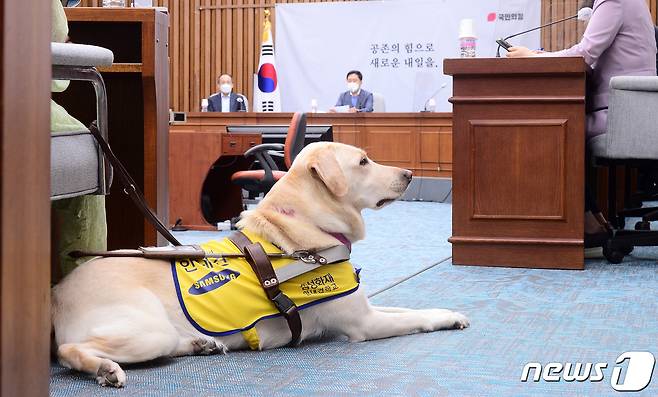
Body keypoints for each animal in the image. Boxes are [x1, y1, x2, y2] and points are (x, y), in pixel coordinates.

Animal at [52, 142, 466, 386]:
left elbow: (409, 308)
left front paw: (451, 314)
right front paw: (441, 319)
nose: (410, 174)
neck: (307, 227)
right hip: (146, 331)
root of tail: (59, 290)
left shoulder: (365, 306)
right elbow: (414, 319)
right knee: (69, 353)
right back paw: (106, 369)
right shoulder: (364, 323)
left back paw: (201, 344)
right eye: (363, 161)